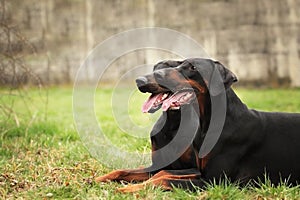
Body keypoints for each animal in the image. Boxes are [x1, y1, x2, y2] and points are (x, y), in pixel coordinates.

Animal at [95, 57, 298, 192]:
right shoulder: (195, 171)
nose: (139, 80)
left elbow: (163, 179)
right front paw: (98, 179)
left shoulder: (216, 181)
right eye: (178, 65)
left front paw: (126, 190)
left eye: (192, 67)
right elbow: (147, 172)